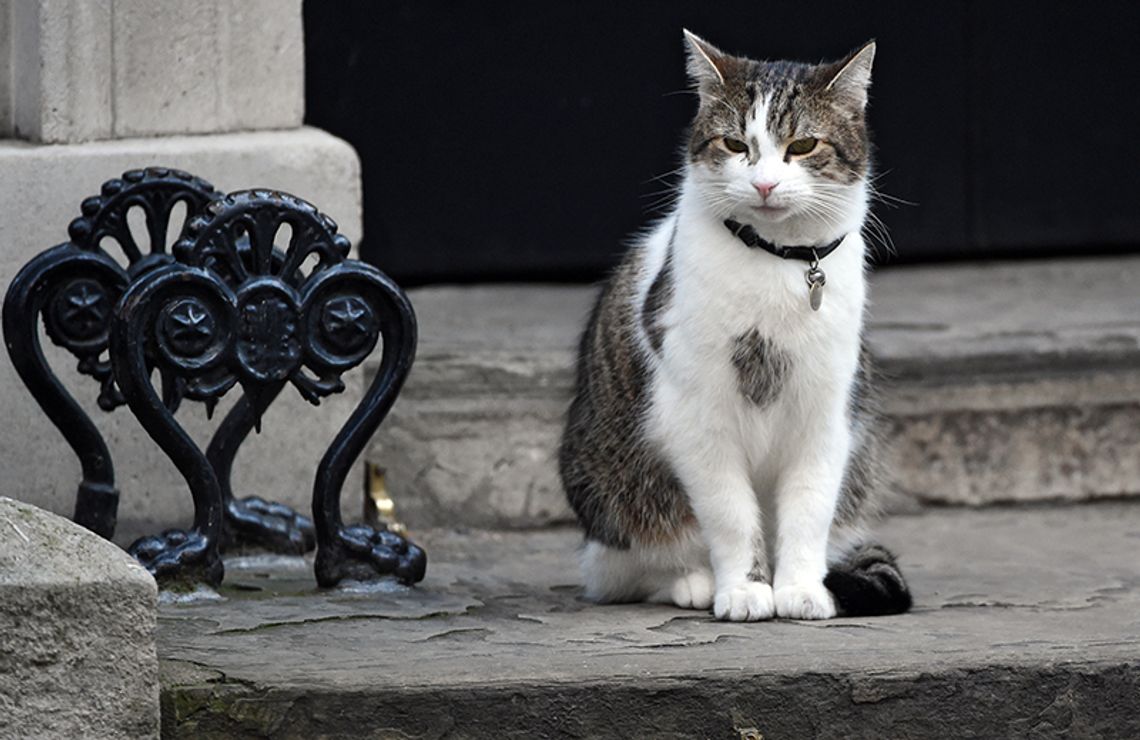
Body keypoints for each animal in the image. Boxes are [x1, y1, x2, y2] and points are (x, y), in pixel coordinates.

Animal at [556, 28, 912, 620]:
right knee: (624, 568)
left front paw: (800, 588)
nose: (764, 185)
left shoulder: (825, 414)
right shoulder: (697, 416)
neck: (777, 264)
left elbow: (809, 509)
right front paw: (745, 589)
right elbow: (730, 514)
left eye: (803, 147)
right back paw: (691, 581)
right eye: (735, 145)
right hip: (611, 492)